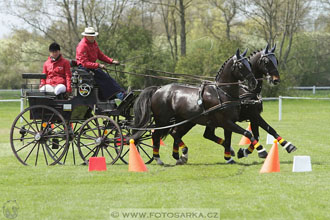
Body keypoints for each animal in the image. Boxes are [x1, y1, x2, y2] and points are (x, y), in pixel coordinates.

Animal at [133, 49, 262, 164]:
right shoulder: (226, 122)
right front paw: (260, 151)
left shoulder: (229, 123)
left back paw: (180, 155)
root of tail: (158, 89)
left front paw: (229, 157)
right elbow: (247, 133)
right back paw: (159, 158)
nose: (253, 82)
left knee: (174, 133)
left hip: (182, 120)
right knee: (156, 135)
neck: (223, 93)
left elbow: (228, 140)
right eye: (241, 65)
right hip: (162, 120)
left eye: (249, 64)